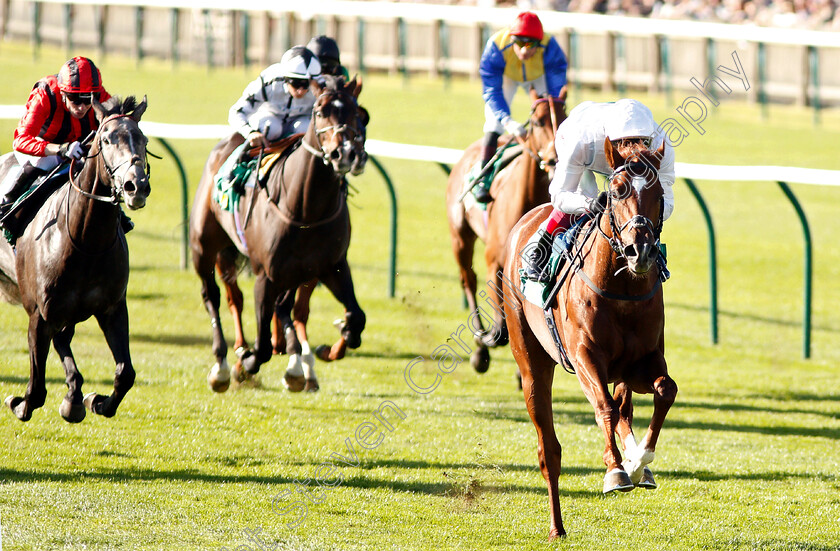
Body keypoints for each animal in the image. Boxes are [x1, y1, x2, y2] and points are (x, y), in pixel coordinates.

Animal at [0, 96, 151, 422]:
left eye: (143, 140)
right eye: (106, 139)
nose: (136, 186)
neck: (85, 242)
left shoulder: (112, 308)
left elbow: (125, 374)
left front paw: (95, 401)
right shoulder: (39, 315)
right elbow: (36, 389)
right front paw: (18, 403)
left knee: (64, 340)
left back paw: (74, 396)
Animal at [193, 78, 368, 396]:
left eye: (357, 112)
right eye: (320, 111)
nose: (347, 153)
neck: (307, 209)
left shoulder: (332, 266)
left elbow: (356, 317)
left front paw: (330, 343)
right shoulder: (267, 276)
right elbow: (261, 346)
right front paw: (246, 363)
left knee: (280, 306)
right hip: (204, 247)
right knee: (214, 296)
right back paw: (223, 365)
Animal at [442, 86, 568, 376]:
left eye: (564, 119)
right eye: (537, 122)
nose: (554, 158)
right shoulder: (495, 262)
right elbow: (501, 330)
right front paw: (488, 338)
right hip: (460, 237)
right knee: (468, 279)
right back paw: (480, 346)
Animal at [506, 138, 676, 540]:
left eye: (660, 194)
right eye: (617, 191)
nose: (640, 251)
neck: (623, 289)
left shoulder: (642, 363)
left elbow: (664, 391)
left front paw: (639, 461)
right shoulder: (584, 356)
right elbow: (605, 408)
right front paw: (615, 470)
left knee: (625, 408)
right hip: (531, 363)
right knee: (549, 450)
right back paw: (557, 526)